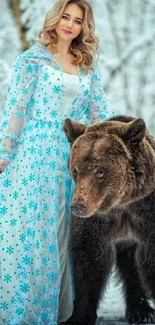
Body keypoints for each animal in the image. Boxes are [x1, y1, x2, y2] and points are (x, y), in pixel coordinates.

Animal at [60, 115, 155, 322]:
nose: (78, 206)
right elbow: (89, 262)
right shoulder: (96, 223)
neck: (121, 203)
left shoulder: (145, 213)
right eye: (75, 170)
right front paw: (80, 315)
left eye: (100, 171)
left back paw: (141, 311)